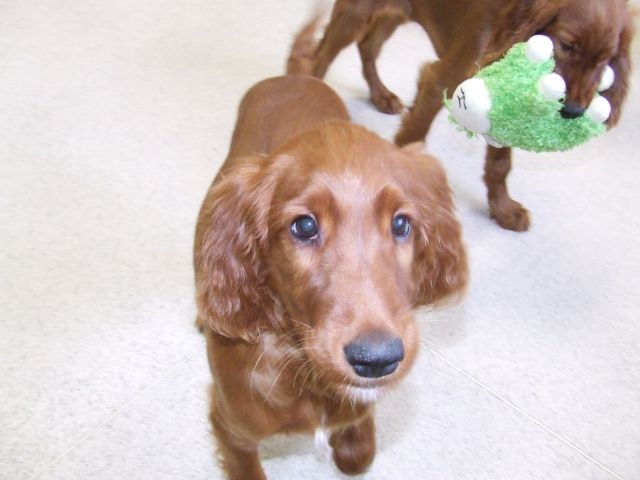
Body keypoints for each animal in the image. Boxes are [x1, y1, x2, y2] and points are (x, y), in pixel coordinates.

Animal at [193, 19, 468, 479]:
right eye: (304, 226)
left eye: (401, 224)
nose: (376, 359)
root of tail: (294, 75)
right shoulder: (231, 426)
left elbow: (359, 451)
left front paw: (351, 440)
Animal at [312, 0, 634, 231]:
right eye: (567, 45)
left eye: (605, 60)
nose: (574, 111)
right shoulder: (440, 80)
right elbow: (414, 137)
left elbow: (501, 164)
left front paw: (502, 209)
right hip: (355, 13)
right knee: (321, 57)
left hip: (396, 14)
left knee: (368, 46)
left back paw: (381, 95)